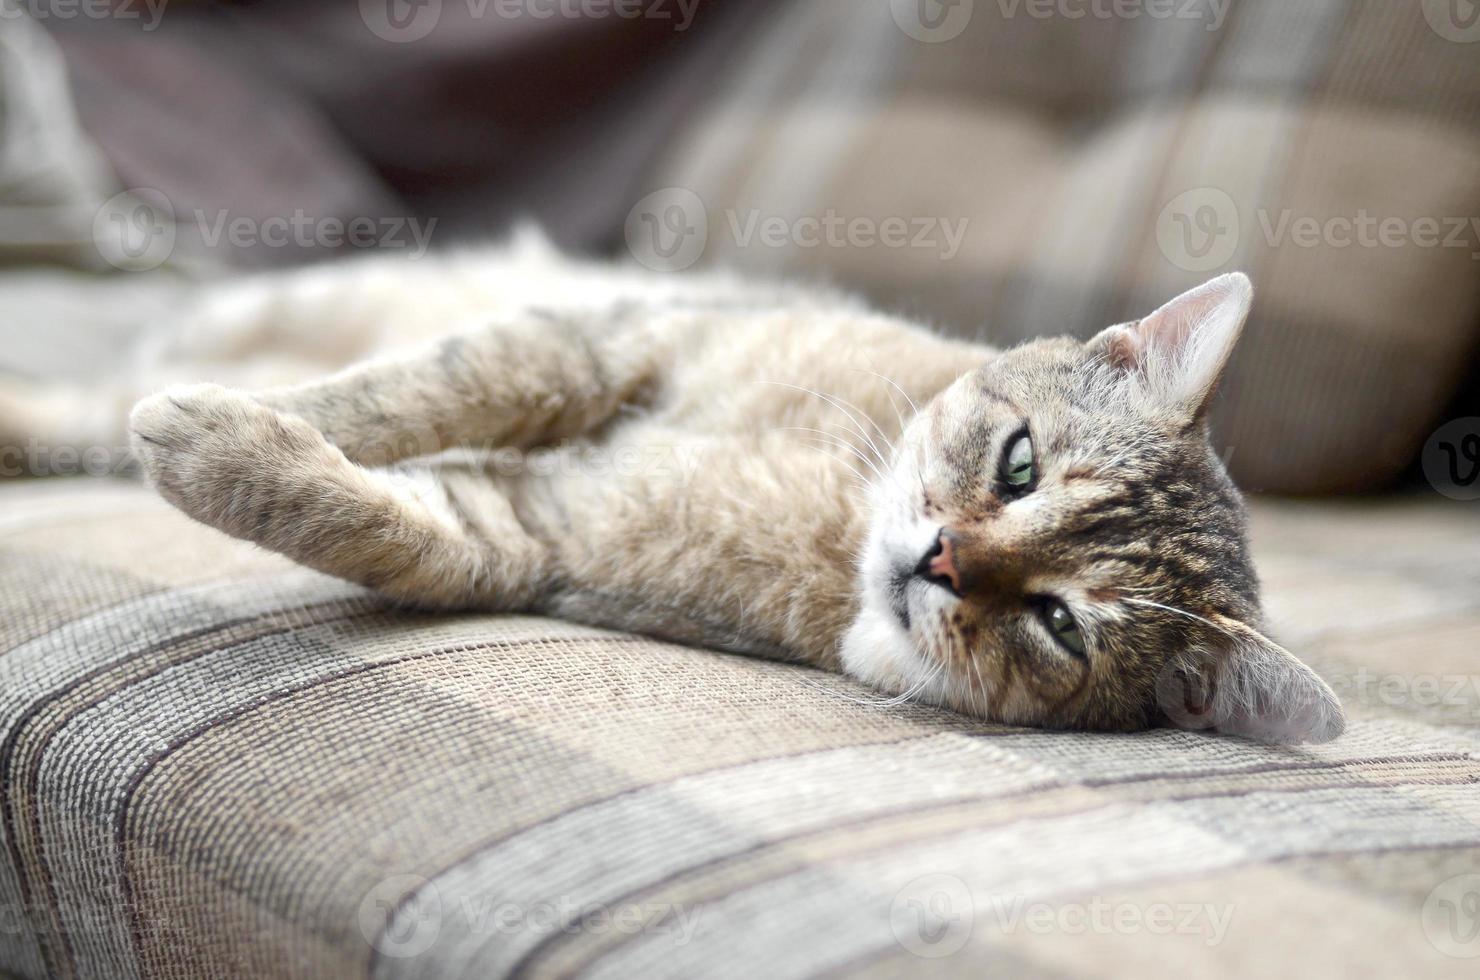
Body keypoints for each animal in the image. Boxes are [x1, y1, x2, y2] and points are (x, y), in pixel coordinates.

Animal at [0, 238, 1343, 746]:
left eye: (1059, 621)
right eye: (1018, 466)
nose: (942, 560)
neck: (829, 506)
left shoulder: (527, 536)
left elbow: (377, 515)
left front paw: (218, 445)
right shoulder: (605, 342)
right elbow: (396, 397)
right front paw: (259, 413)